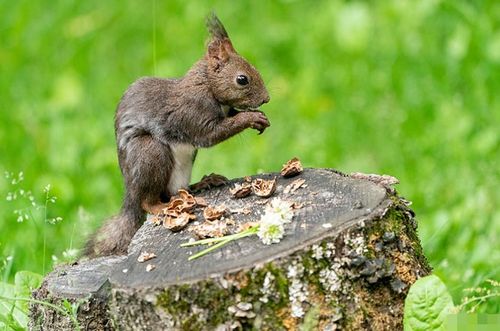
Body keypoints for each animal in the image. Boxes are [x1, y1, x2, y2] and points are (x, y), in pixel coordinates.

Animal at [83, 13, 270, 258]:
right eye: (242, 79)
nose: (266, 98)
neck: (206, 85)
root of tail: (130, 193)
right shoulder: (193, 115)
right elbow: (212, 134)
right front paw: (251, 118)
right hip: (149, 153)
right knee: (148, 201)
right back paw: (161, 205)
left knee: (176, 191)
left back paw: (202, 184)